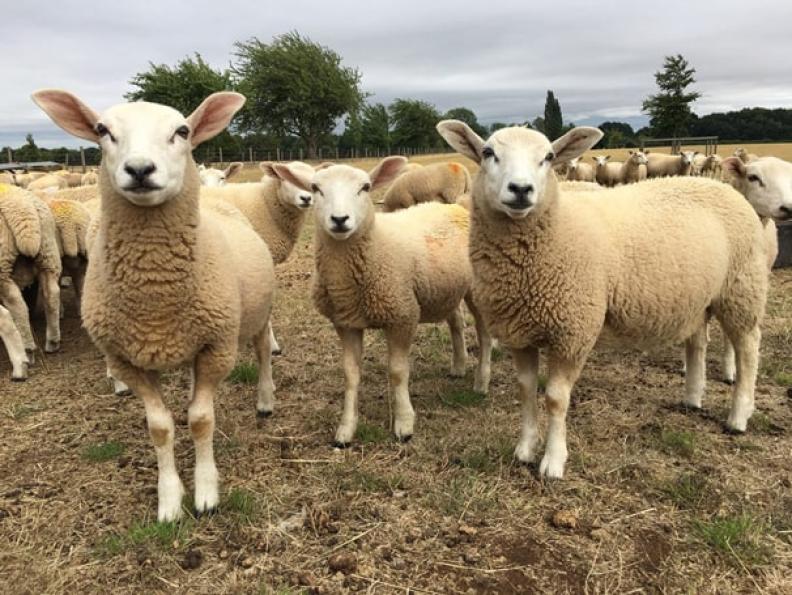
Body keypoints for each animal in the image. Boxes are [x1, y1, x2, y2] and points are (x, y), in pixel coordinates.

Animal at [0, 184, 62, 358]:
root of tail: (21, 207)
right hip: (48, 253)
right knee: (51, 294)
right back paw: (53, 341)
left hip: (2, 265)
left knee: (17, 304)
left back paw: (27, 349)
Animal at [34, 88, 277, 521]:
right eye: (102, 130)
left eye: (182, 131)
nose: (140, 169)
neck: (155, 296)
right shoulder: (127, 360)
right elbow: (160, 427)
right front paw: (169, 500)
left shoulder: (216, 347)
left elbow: (201, 420)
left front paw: (206, 493)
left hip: (257, 313)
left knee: (263, 350)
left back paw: (265, 399)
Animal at [272, 156, 493, 445]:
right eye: (315, 188)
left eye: (365, 187)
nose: (340, 220)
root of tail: (456, 207)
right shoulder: (346, 322)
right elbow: (350, 375)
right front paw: (346, 429)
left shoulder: (402, 315)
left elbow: (398, 372)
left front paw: (404, 423)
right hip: (445, 289)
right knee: (456, 323)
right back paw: (458, 366)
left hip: (475, 288)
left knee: (484, 333)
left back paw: (482, 381)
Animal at [436, 120, 769, 479]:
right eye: (488, 152)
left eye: (548, 157)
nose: (521, 189)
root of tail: (723, 187)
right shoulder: (519, 333)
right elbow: (525, 390)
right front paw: (524, 450)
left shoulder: (573, 332)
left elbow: (555, 398)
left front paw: (553, 462)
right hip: (698, 297)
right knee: (698, 342)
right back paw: (692, 398)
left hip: (741, 288)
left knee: (748, 349)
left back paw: (739, 416)